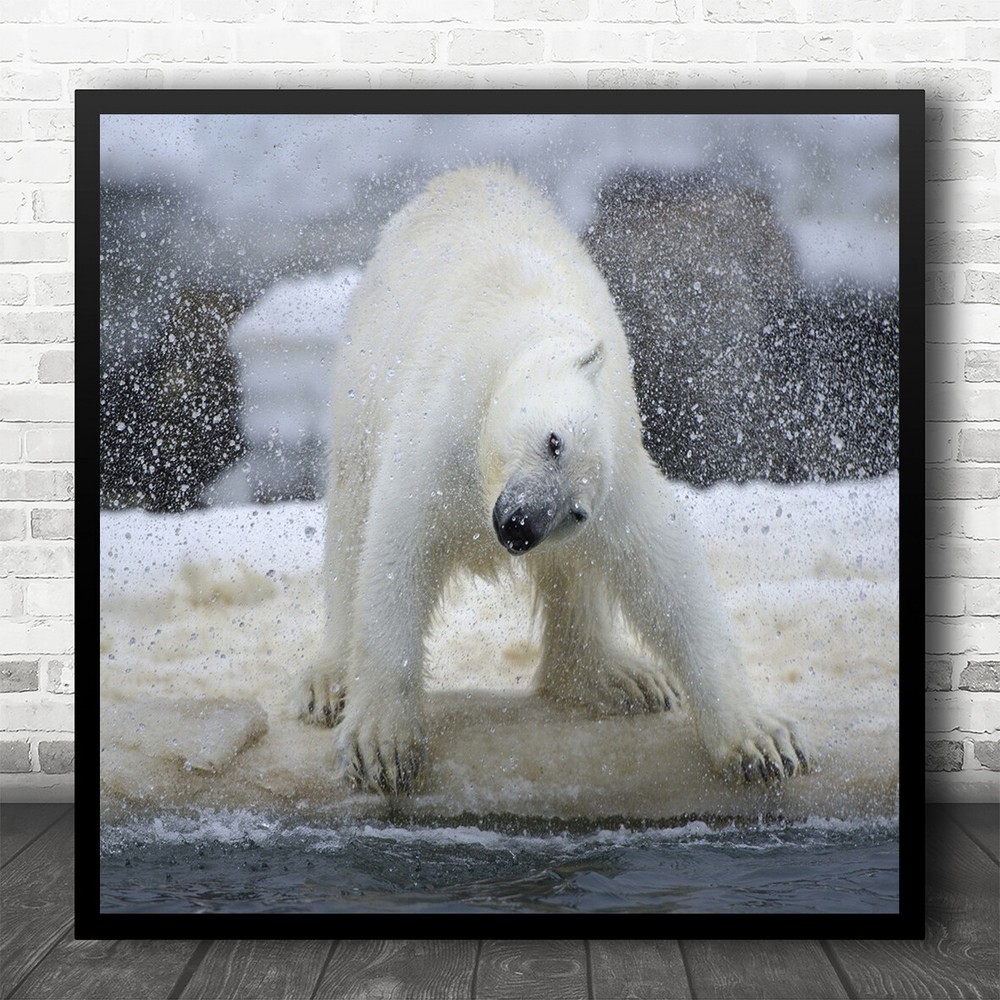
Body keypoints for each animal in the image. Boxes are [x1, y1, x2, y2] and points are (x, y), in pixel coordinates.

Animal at [298, 165, 809, 795]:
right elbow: (400, 549)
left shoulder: (619, 468)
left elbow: (665, 571)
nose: (521, 526)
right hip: (364, 378)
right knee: (351, 519)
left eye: (576, 510)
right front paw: (382, 747)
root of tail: (468, 176)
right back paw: (330, 681)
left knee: (579, 576)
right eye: (552, 440)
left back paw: (619, 676)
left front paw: (761, 740)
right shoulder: (442, 425)